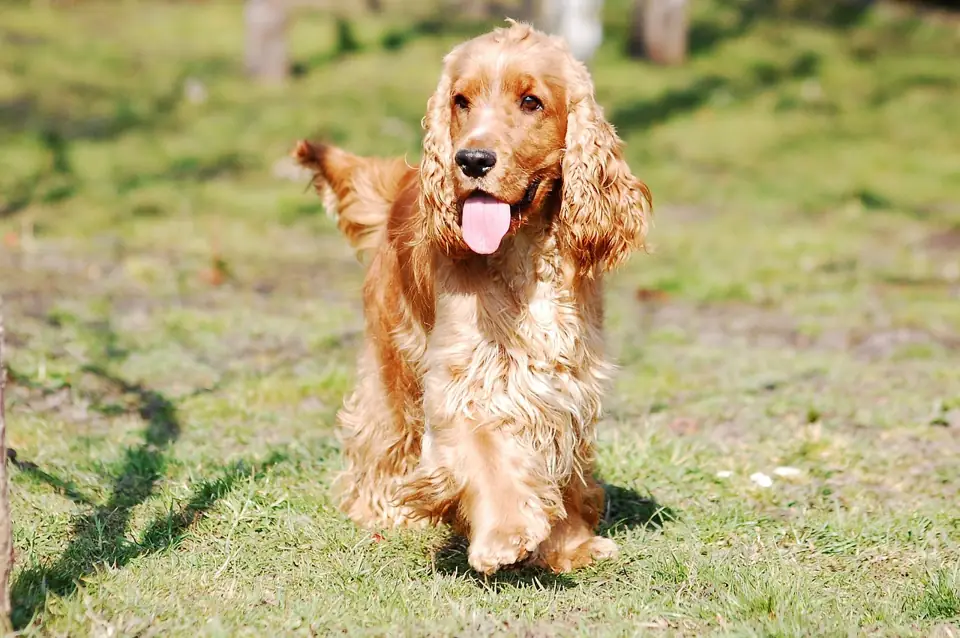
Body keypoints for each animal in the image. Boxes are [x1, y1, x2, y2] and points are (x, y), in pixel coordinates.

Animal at [294, 21, 652, 580]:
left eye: (531, 101)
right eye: (460, 100)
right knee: (380, 430)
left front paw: (570, 544)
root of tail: (405, 180)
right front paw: (505, 534)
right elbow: (486, 450)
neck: (524, 254)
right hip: (394, 353)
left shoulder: (566, 380)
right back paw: (382, 508)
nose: (472, 160)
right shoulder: (465, 377)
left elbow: (559, 460)